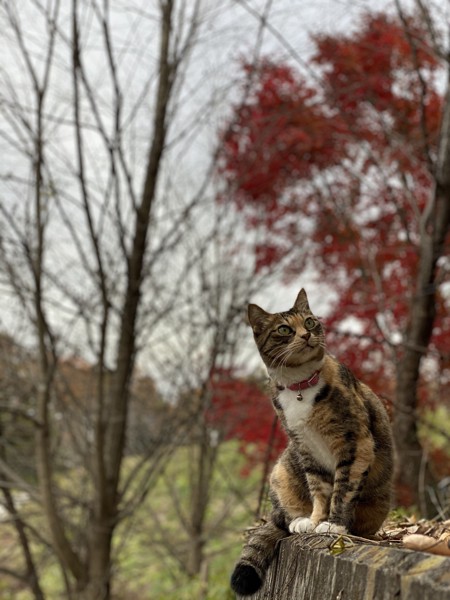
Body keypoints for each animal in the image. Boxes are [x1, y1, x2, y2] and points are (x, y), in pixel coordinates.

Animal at [232, 290, 394, 596]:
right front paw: (317, 520)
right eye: (284, 329)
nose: (306, 334)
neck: (300, 387)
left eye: (309, 321)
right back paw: (299, 520)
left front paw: (334, 524)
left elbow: (342, 488)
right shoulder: (305, 448)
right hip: (281, 469)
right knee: (282, 518)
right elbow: (319, 488)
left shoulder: (353, 442)